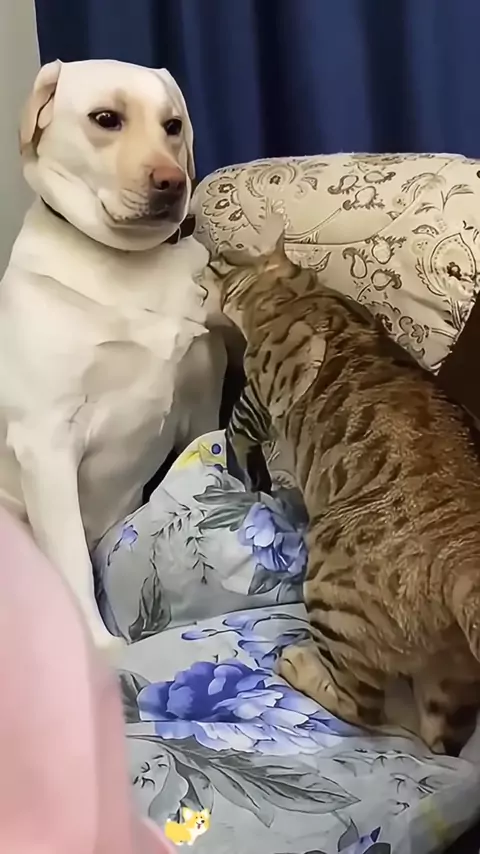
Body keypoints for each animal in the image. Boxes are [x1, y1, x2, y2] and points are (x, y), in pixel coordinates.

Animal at [0, 59, 227, 656]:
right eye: (106, 119)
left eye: (173, 125)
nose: (173, 182)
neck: (129, 262)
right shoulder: (46, 441)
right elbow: (71, 564)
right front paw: (101, 649)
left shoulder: (202, 403)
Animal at [208, 221, 480, 755]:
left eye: (227, 259)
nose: (210, 257)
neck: (301, 291)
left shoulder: (261, 391)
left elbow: (240, 429)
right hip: (450, 683)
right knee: (437, 737)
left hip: (331, 586)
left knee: (365, 709)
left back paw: (297, 663)